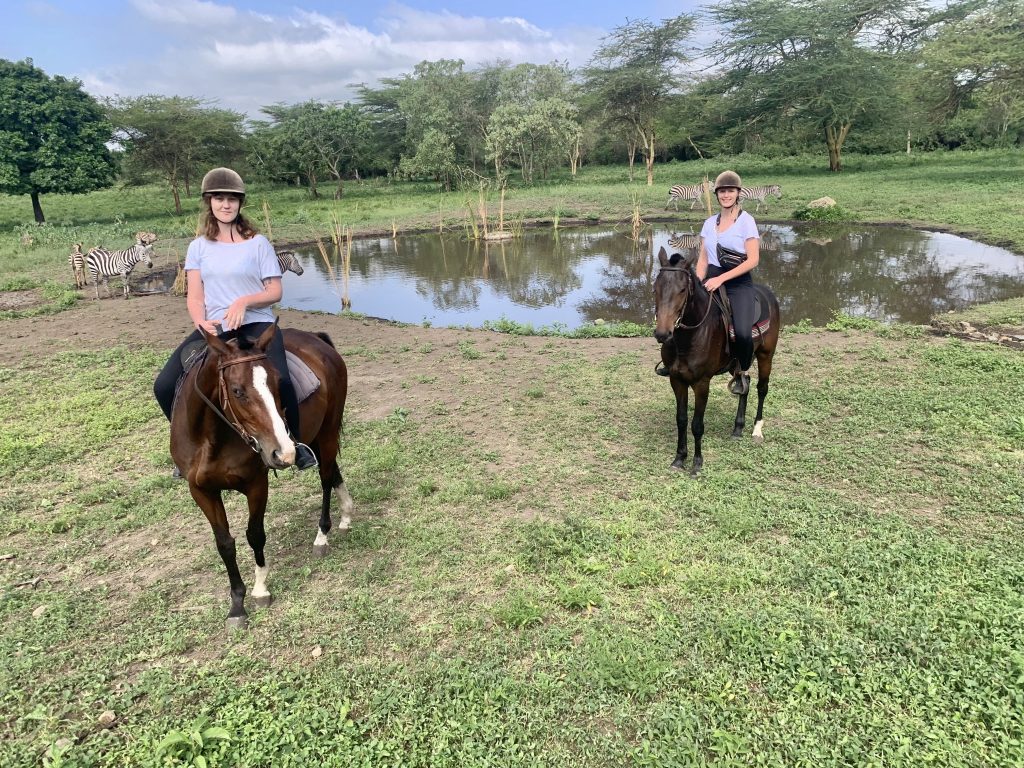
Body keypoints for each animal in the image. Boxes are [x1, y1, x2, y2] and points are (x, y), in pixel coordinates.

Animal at [169, 325, 354, 630]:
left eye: (280, 384)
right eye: (237, 391)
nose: (283, 452)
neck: (211, 438)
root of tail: (315, 338)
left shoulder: (256, 484)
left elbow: (255, 534)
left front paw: (260, 590)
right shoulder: (200, 490)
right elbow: (224, 543)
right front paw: (236, 605)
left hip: (328, 429)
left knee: (326, 477)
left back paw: (322, 536)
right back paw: (347, 514)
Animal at [651, 246, 778, 475]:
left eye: (682, 290)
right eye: (655, 288)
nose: (662, 334)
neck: (689, 338)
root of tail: (768, 295)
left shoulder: (702, 383)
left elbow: (696, 424)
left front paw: (697, 464)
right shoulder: (676, 380)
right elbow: (681, 420)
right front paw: (679, 459)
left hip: (766, 356)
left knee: (761, 388)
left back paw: (756, 430)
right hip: (738, 363)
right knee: (744, 383)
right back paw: (738, 428)